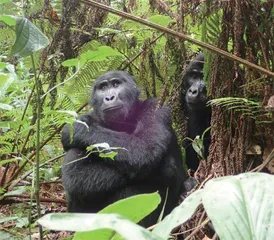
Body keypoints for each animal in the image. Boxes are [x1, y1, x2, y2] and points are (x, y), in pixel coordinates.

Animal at [61, 70, 187, 226]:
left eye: (116, 84)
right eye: (103, 88)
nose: (109, 97)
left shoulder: (155, 107)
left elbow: (146, 148)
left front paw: (78, 129)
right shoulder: (89, 116)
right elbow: (76, 173)